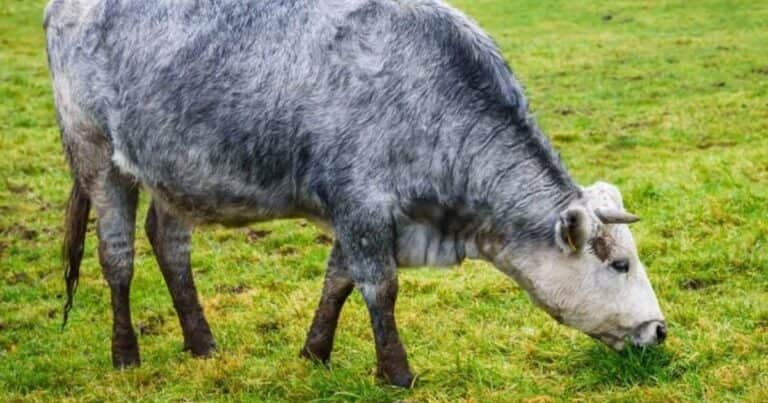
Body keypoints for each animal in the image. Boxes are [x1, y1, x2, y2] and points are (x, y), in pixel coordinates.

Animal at [45, 0, 666, 387]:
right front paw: (397, 373)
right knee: (117, 256)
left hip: (175, 171)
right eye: (618, 265)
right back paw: (126, 354)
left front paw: (314, 352)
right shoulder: (361, 203)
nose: (658, 330)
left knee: (169, 243)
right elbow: (378, 287)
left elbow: (338, 280)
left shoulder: (362, 211)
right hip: (97, 154)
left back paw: (202, 343)